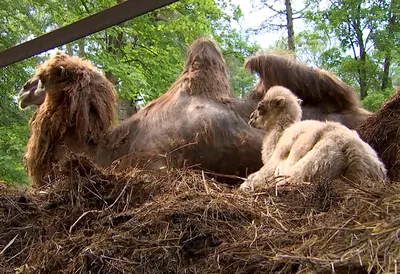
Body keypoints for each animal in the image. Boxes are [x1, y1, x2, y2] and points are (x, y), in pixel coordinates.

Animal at [241, 86, 388, 192]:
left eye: (260, 107)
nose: (251, 118)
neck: (278, 138)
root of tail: (354, 151)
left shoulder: (272, 166)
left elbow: (251, 180)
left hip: (309, 168)